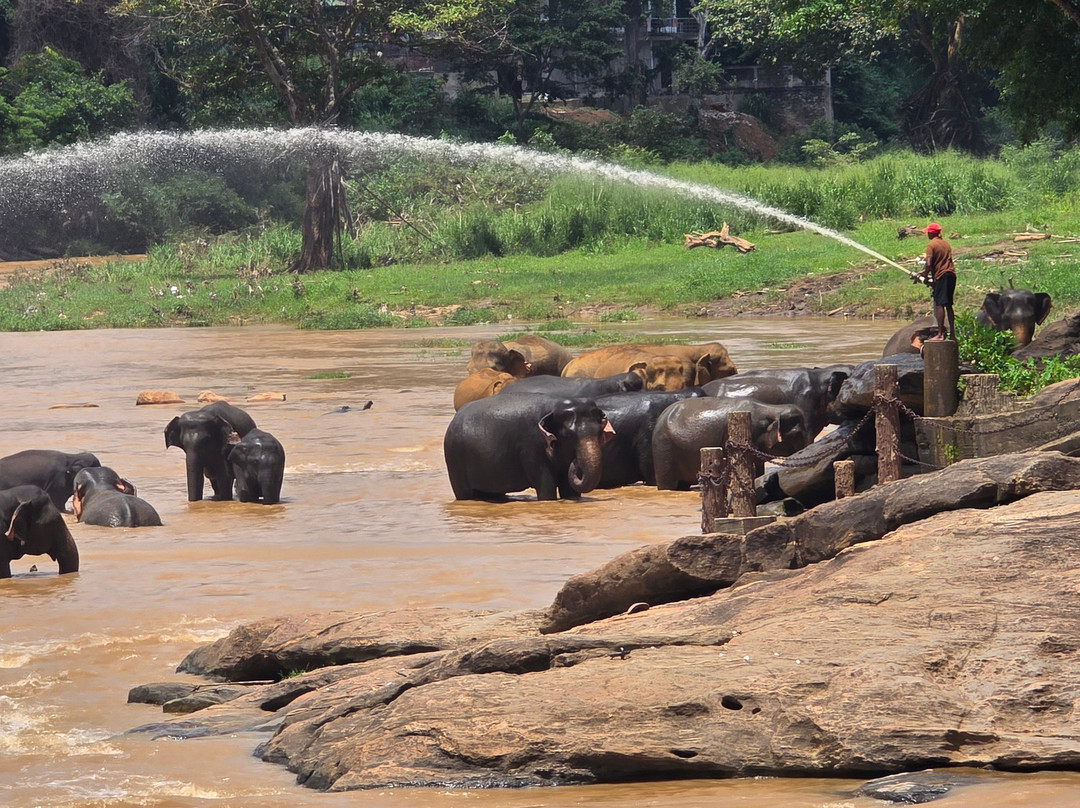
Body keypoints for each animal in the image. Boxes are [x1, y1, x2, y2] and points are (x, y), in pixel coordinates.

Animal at [444, 395, 615, 501]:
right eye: (569, 436)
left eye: (600, 432)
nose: (575, 462)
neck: (554, 404)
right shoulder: (532, 445)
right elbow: (546, 486)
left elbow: (569, 489)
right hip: (454, 458)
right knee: (464, 493)